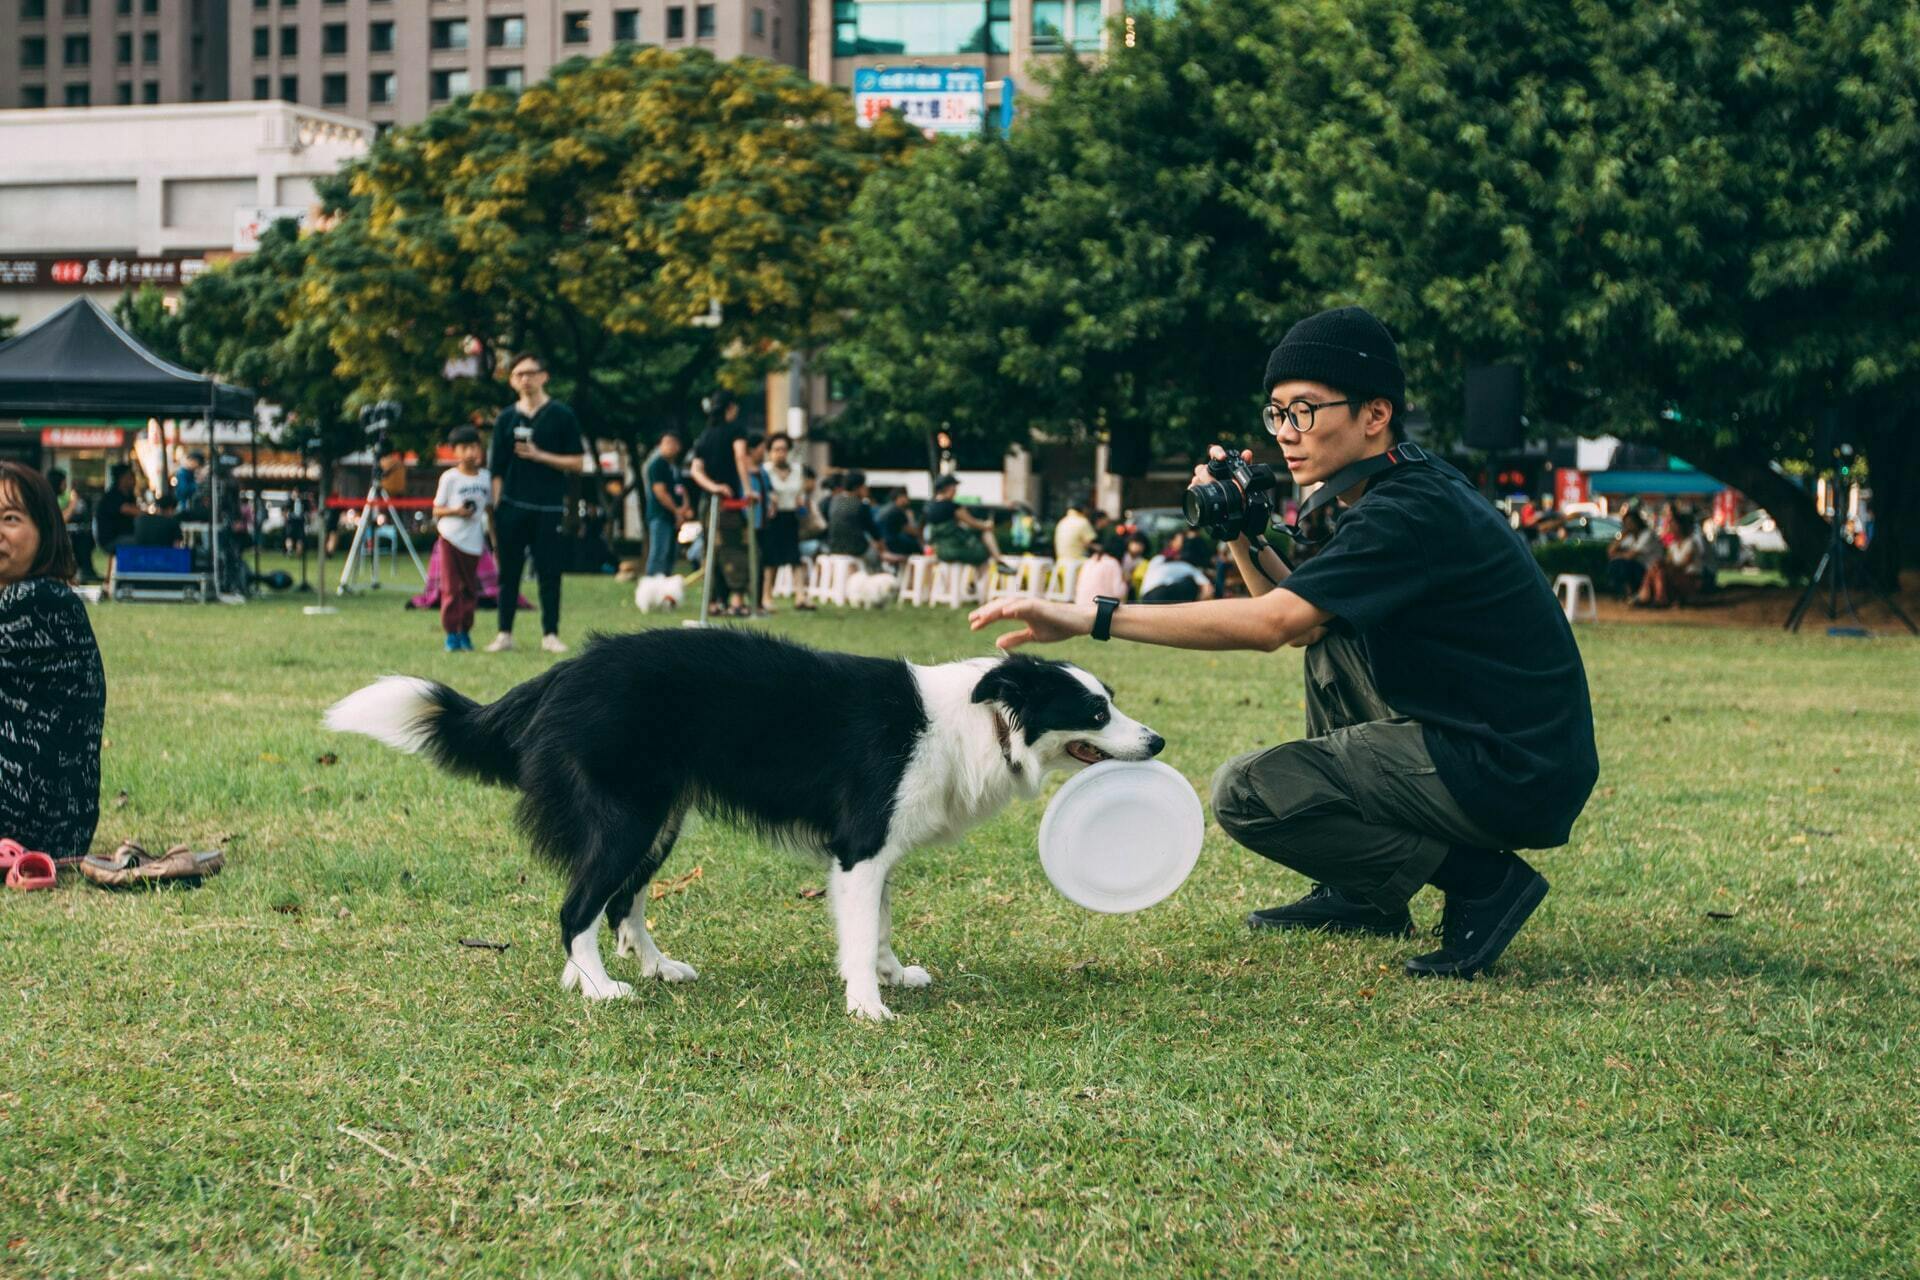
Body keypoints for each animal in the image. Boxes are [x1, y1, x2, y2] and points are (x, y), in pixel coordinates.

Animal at [324, 629, 1159, 1020]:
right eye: (1094, 713)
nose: (1156, 743)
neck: (981, 720)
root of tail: (559, 675)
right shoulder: (860, 846)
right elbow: (860, 929)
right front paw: (868, 1003)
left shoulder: (881, 852)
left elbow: (882, 923)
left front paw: (893, 974)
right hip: (629, 816)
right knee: (577, 907)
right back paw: (600, 989)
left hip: (660, 819)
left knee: (620, 902)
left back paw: (652, 969)